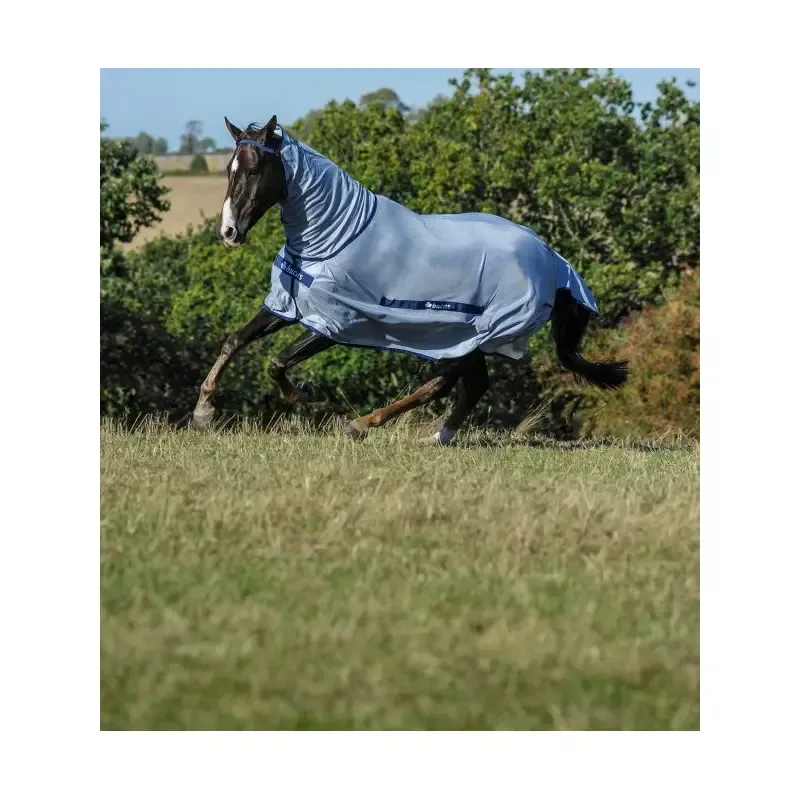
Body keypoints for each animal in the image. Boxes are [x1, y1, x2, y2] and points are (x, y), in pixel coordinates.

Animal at [192, 115, 628, 444]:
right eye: (229, 170)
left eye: (253, 170)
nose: (228, 233)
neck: (336, 235)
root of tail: (552, 261)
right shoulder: (288, 306)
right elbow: (235, 340)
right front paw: (204, 411)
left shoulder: (337, 323)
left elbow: (276, 361)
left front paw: (300, 396)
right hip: (464, 338)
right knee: (471, 386)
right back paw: (436, 437)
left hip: (476, 336)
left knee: (441, 385)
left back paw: (363, 424)